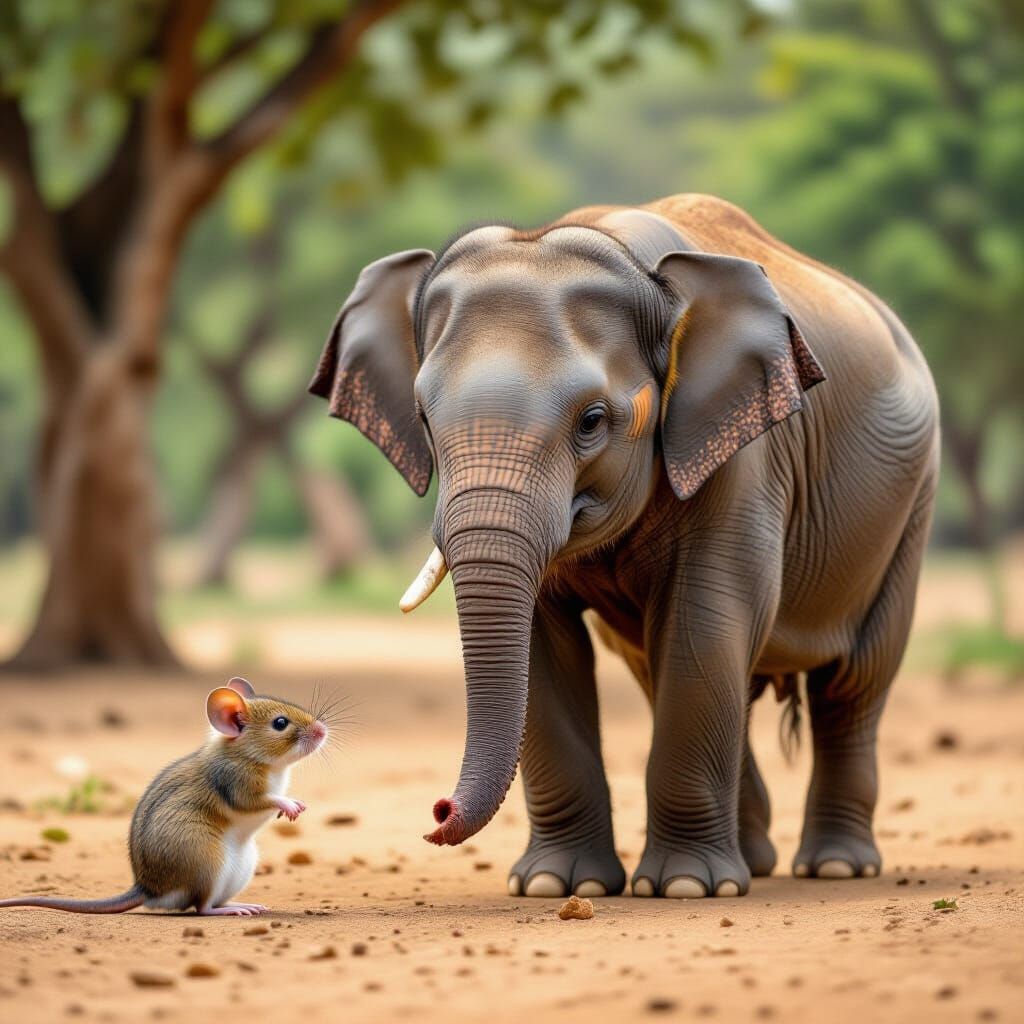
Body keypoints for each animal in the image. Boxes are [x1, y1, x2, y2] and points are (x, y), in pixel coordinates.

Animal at [310, 193, 939, 900]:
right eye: (422, 418)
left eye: (591, 422)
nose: (438, 813)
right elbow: (547, 649)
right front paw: (556, 886)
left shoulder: (740, 456)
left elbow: (706, 624)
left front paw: (686, 888)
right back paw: (755, 863)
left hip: (913, 503)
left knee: (854, 682)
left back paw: (833, 867)